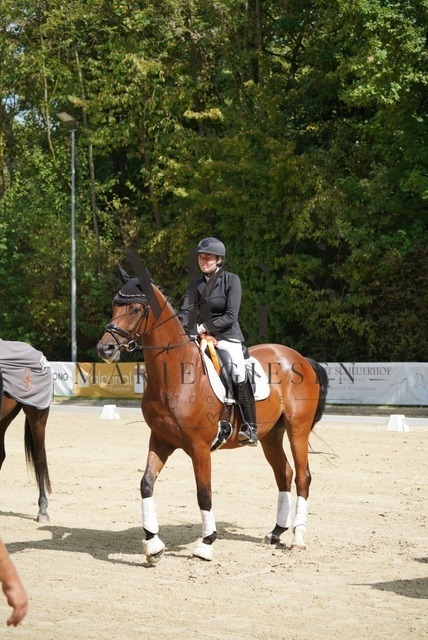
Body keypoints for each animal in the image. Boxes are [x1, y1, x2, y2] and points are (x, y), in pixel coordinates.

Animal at [97, 263, 329, 563]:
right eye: (115, 304)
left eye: (136, 309)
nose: (105, 348)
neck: (175, 376)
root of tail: (300, 358)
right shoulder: (160, 440)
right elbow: (146, 484)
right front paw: (153, 545)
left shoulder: (199, 447)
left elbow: (203, 493)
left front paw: (206, 543)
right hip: (270, 435)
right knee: (284, 474)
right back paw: (276, 532)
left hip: (296, 428)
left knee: (302, 477)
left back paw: (297, 538)